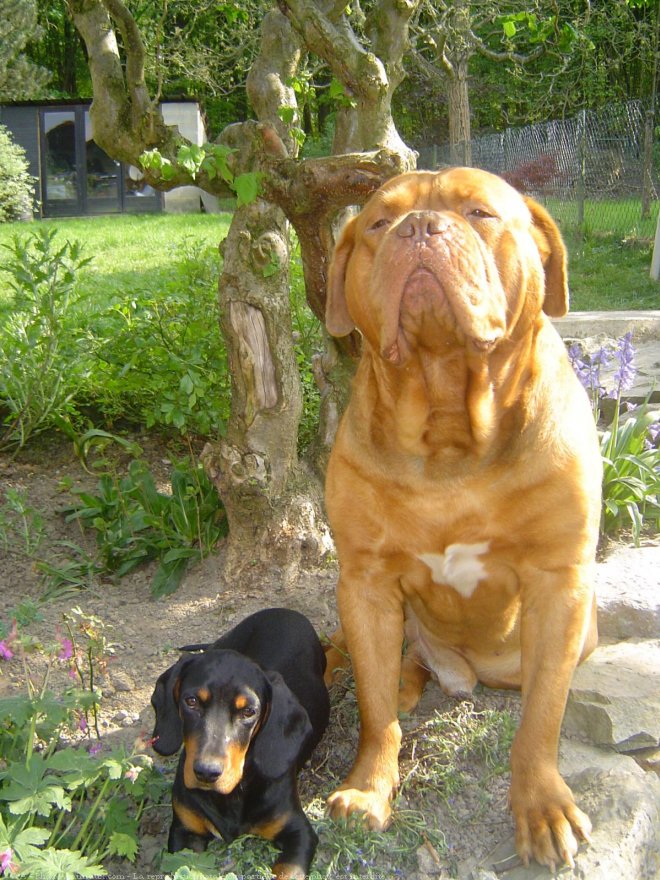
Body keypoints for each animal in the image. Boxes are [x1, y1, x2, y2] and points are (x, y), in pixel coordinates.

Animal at [324, 168, 604, 868]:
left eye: (480, 212)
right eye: (379, 222)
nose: (420, 227)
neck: (448, 423)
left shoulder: (559, 583)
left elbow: (542, 718)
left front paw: (541, 807)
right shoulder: (365, 582)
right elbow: (374, 712)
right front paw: (368, 788)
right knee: (367, 661)